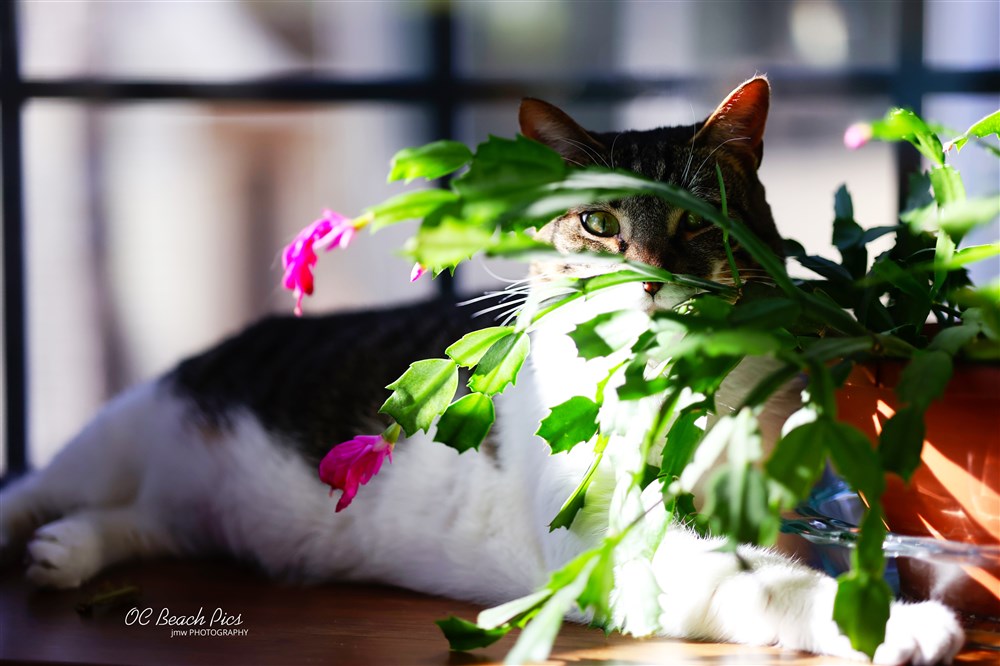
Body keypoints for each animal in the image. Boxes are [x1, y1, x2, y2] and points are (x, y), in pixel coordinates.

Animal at [0, 79, 968, 664]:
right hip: (117, 432)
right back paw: (44, 532)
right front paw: (905, 624)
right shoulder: (611, 543)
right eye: (600, 224)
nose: (649, 275)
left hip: (179, 510)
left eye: (697, 223)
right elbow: (767, 583)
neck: (673, 383)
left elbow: (780, 555)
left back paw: (70, 551)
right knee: (42, 487)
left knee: (142, 523)